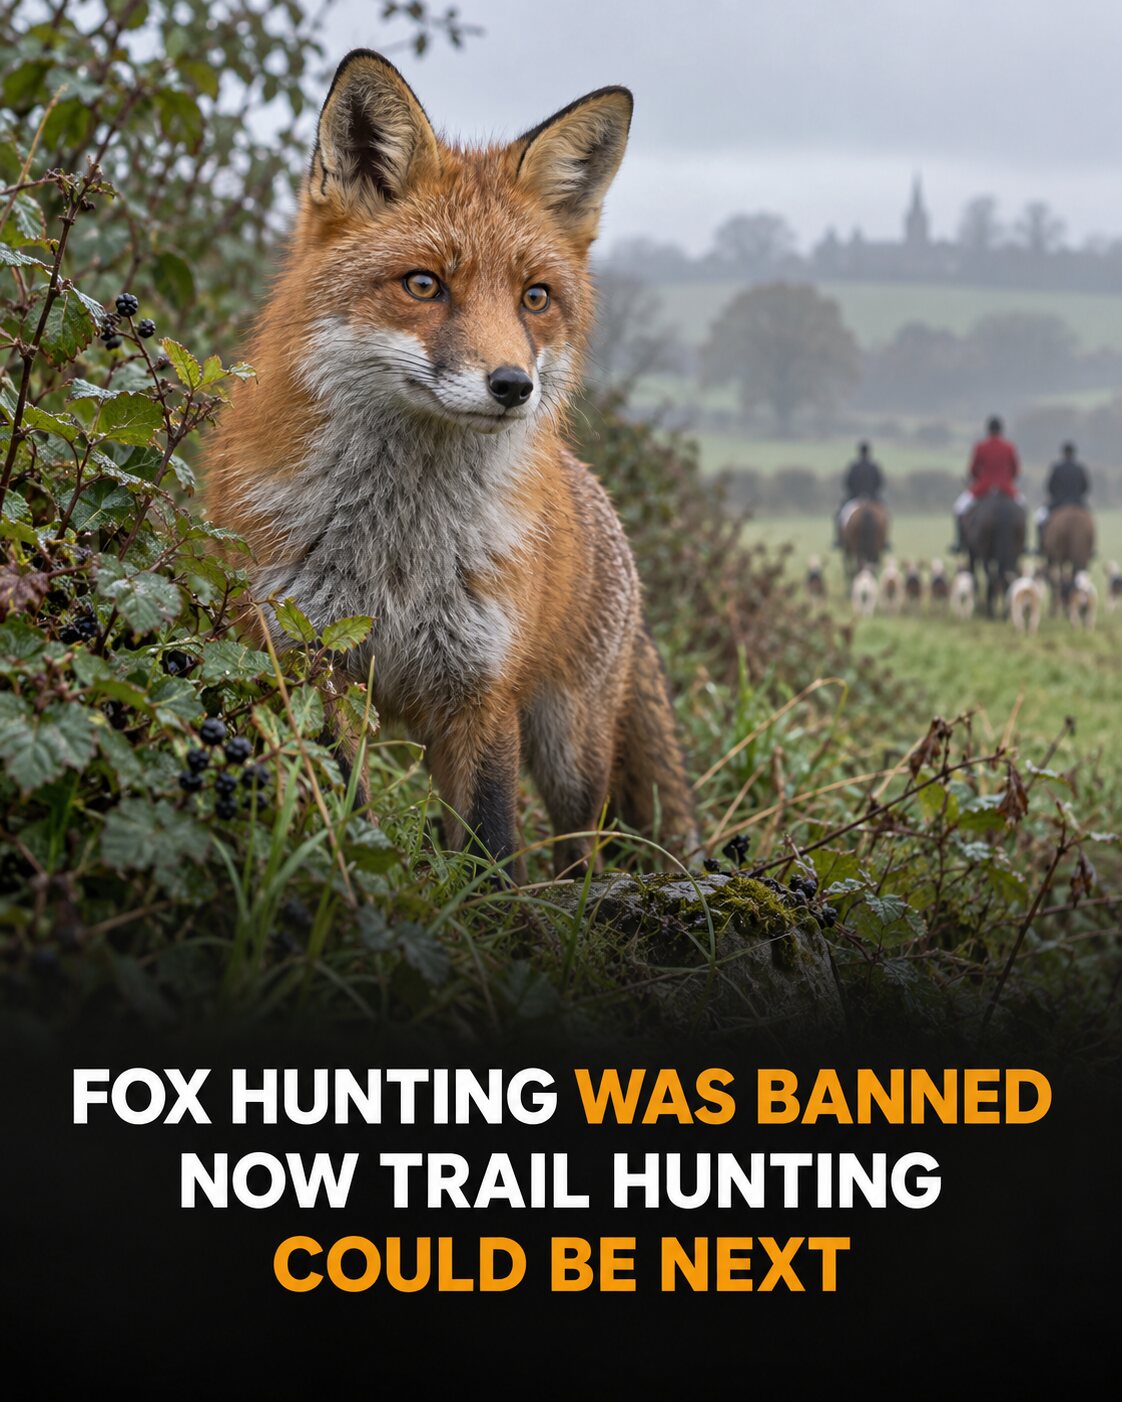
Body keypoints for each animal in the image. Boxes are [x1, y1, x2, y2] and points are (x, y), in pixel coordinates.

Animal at [204, 49, 699, 881]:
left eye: (536, 298)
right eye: (424, 285)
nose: (513, 386)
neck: (402, 544)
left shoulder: (481, 690)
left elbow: (492, 844)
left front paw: (491, 907)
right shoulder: (309, 659)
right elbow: (346, 810)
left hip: (570, 747)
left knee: (581, 845)